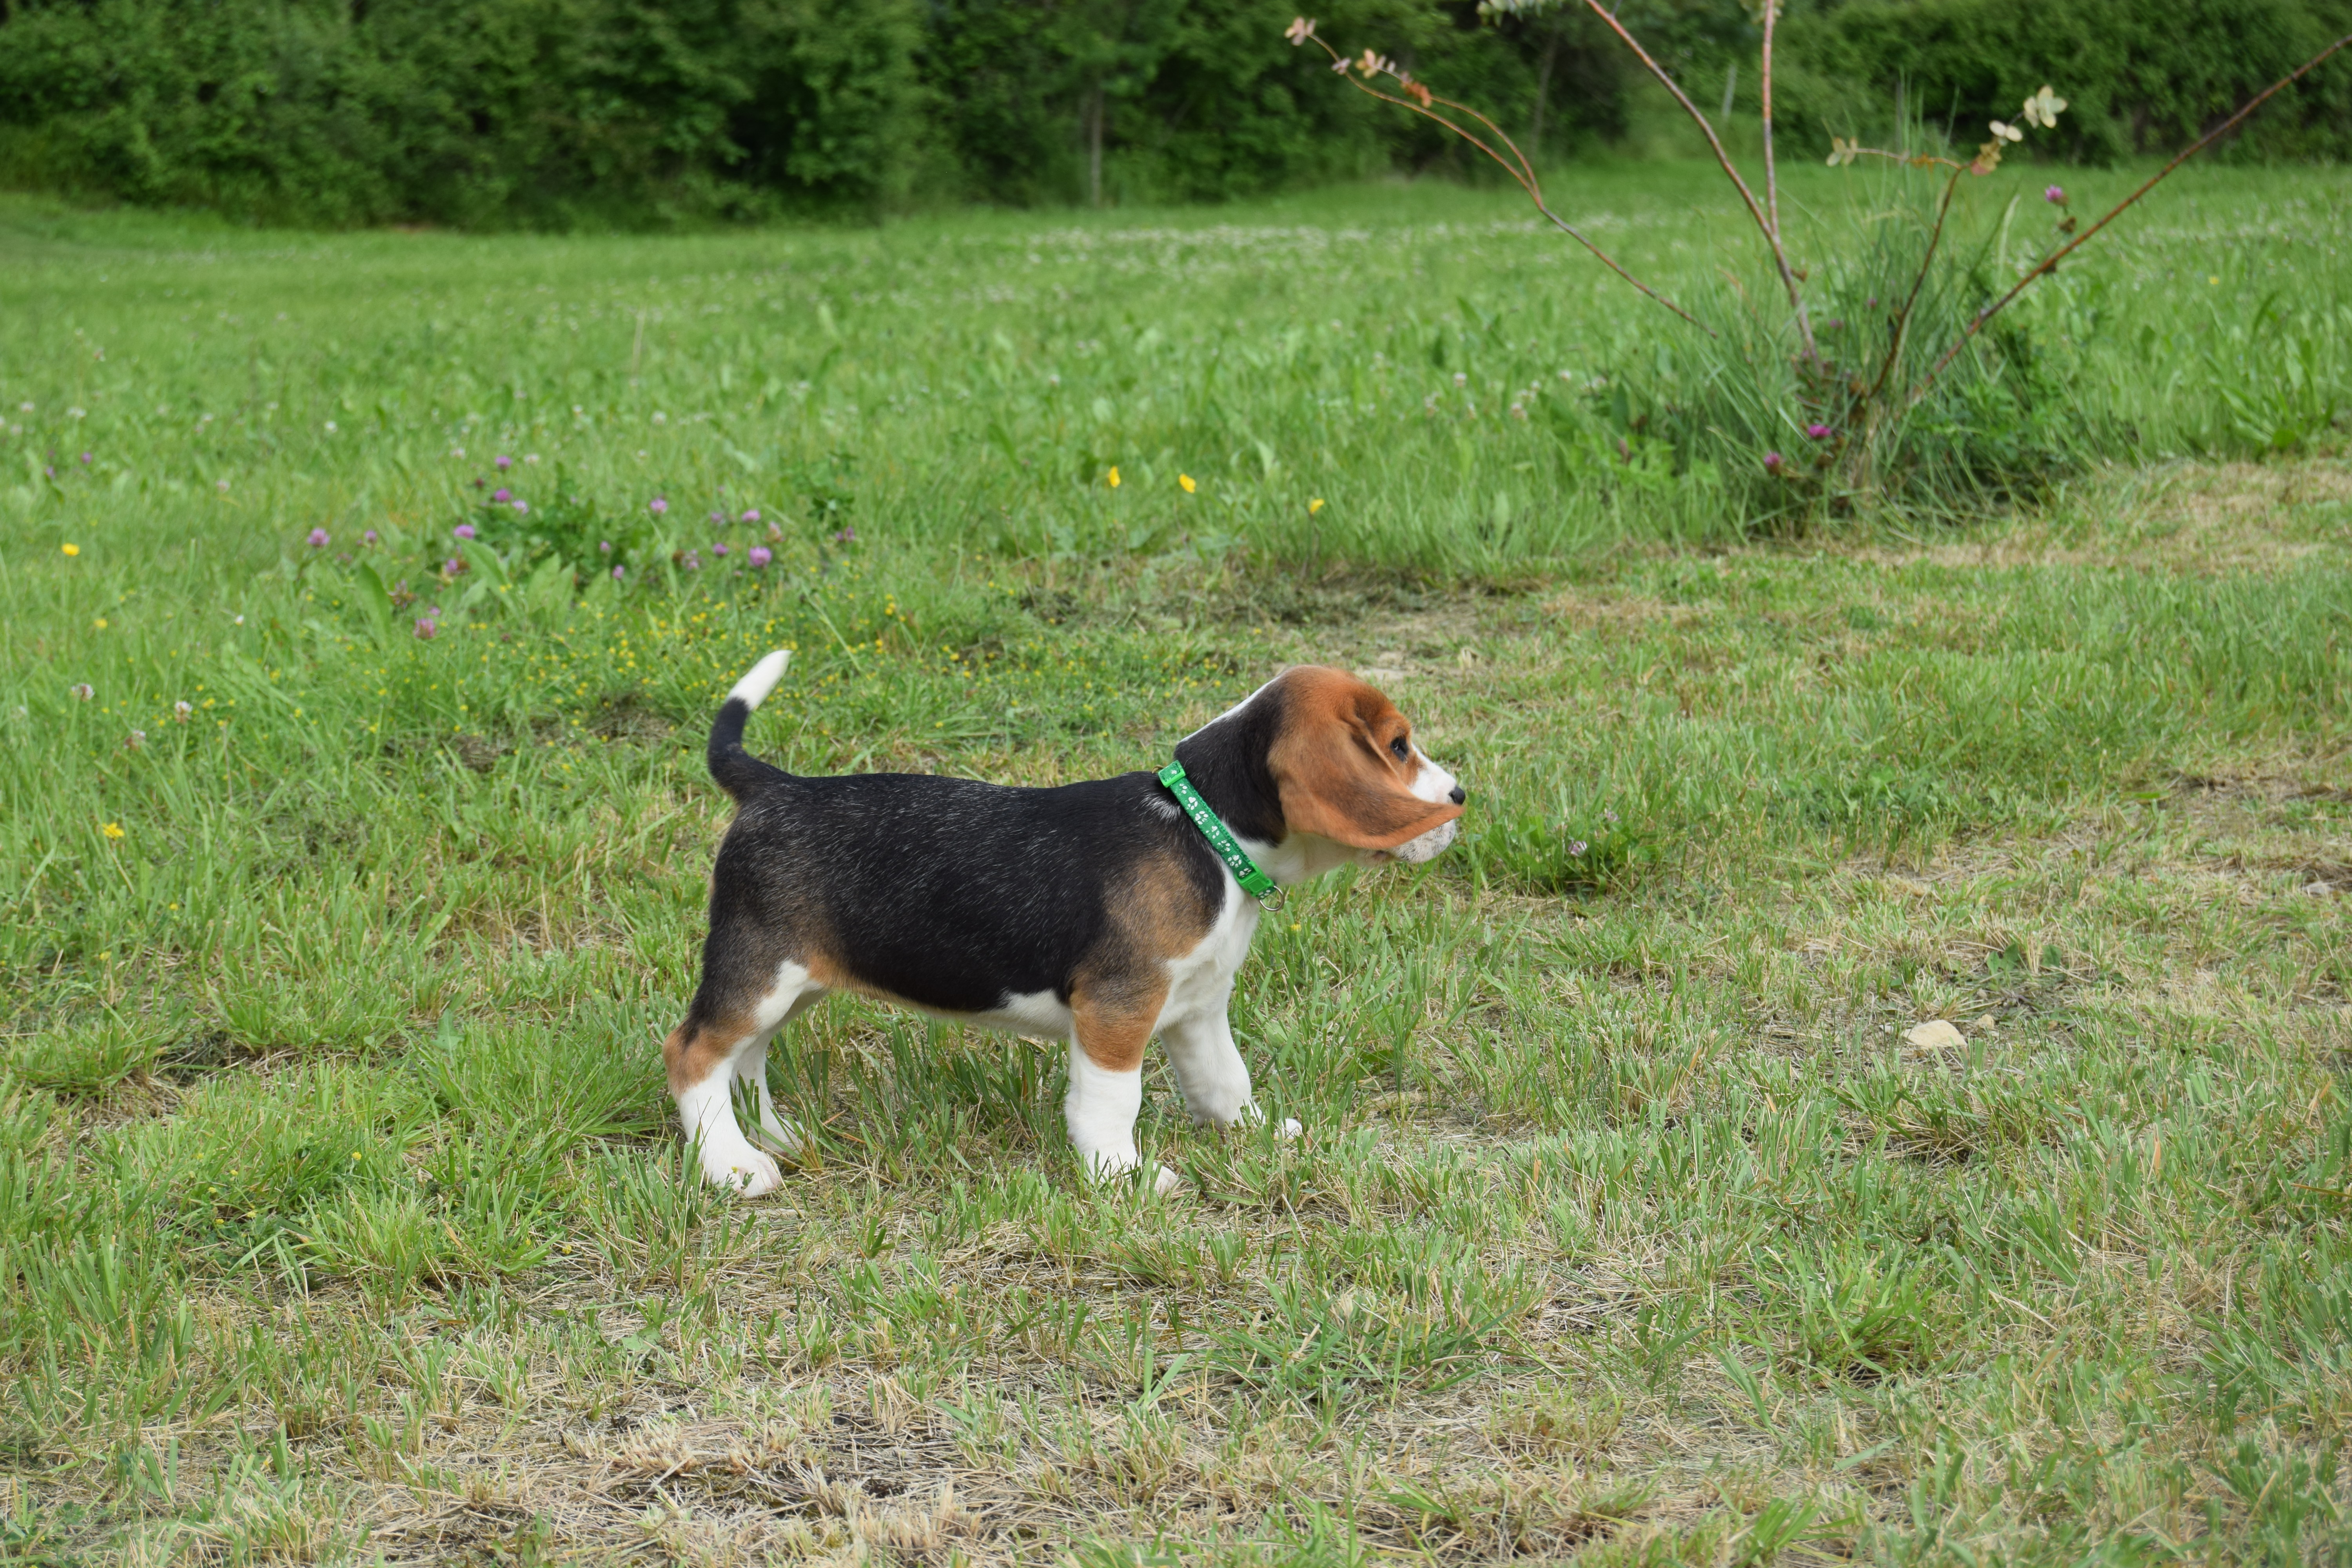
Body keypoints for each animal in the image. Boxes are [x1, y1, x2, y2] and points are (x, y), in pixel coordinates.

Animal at [668, 649, 1468, 1189]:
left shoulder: (1198, 1010)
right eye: (1398, 747)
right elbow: (1114, 1101)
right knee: (695, 1055)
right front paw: (1124, 1177)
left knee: (746, 1061)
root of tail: (775, 787)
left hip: (791, 985)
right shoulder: (1118, 1009)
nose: (1461, 796)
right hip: (760, 973)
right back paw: (733, 1168)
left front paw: (1260, 1134)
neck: (1201, 830)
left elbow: (1225, 1083)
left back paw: (773, 1139)